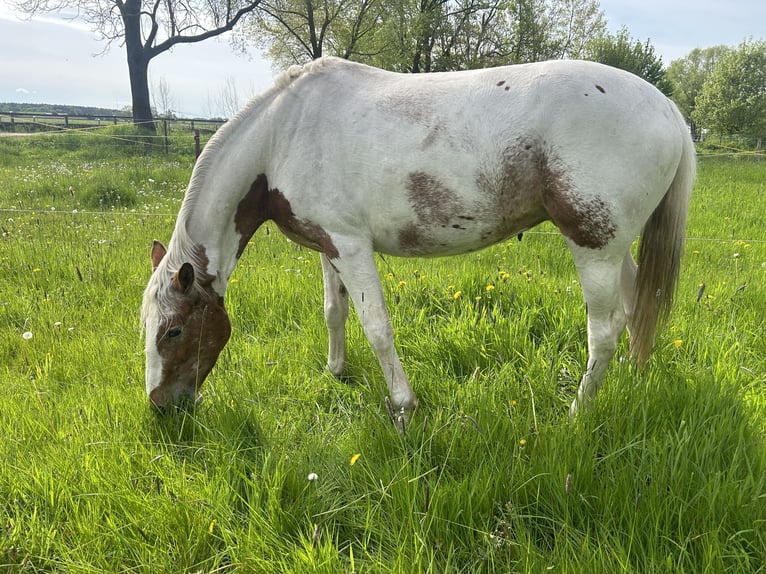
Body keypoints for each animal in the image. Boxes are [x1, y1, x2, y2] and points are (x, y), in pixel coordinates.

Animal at [140, 57, 696, 428]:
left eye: (173, 331)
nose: (161, 406)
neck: (282, 136)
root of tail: (668, 108)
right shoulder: (328, 247)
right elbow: (334, 312)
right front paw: (336, 371)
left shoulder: (351, 246)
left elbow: (377, 327)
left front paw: (403, 406)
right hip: (615, 247)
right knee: (636, 306)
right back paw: (632, 376)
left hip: (594, 247)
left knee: (604, 331)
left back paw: (577, 415)